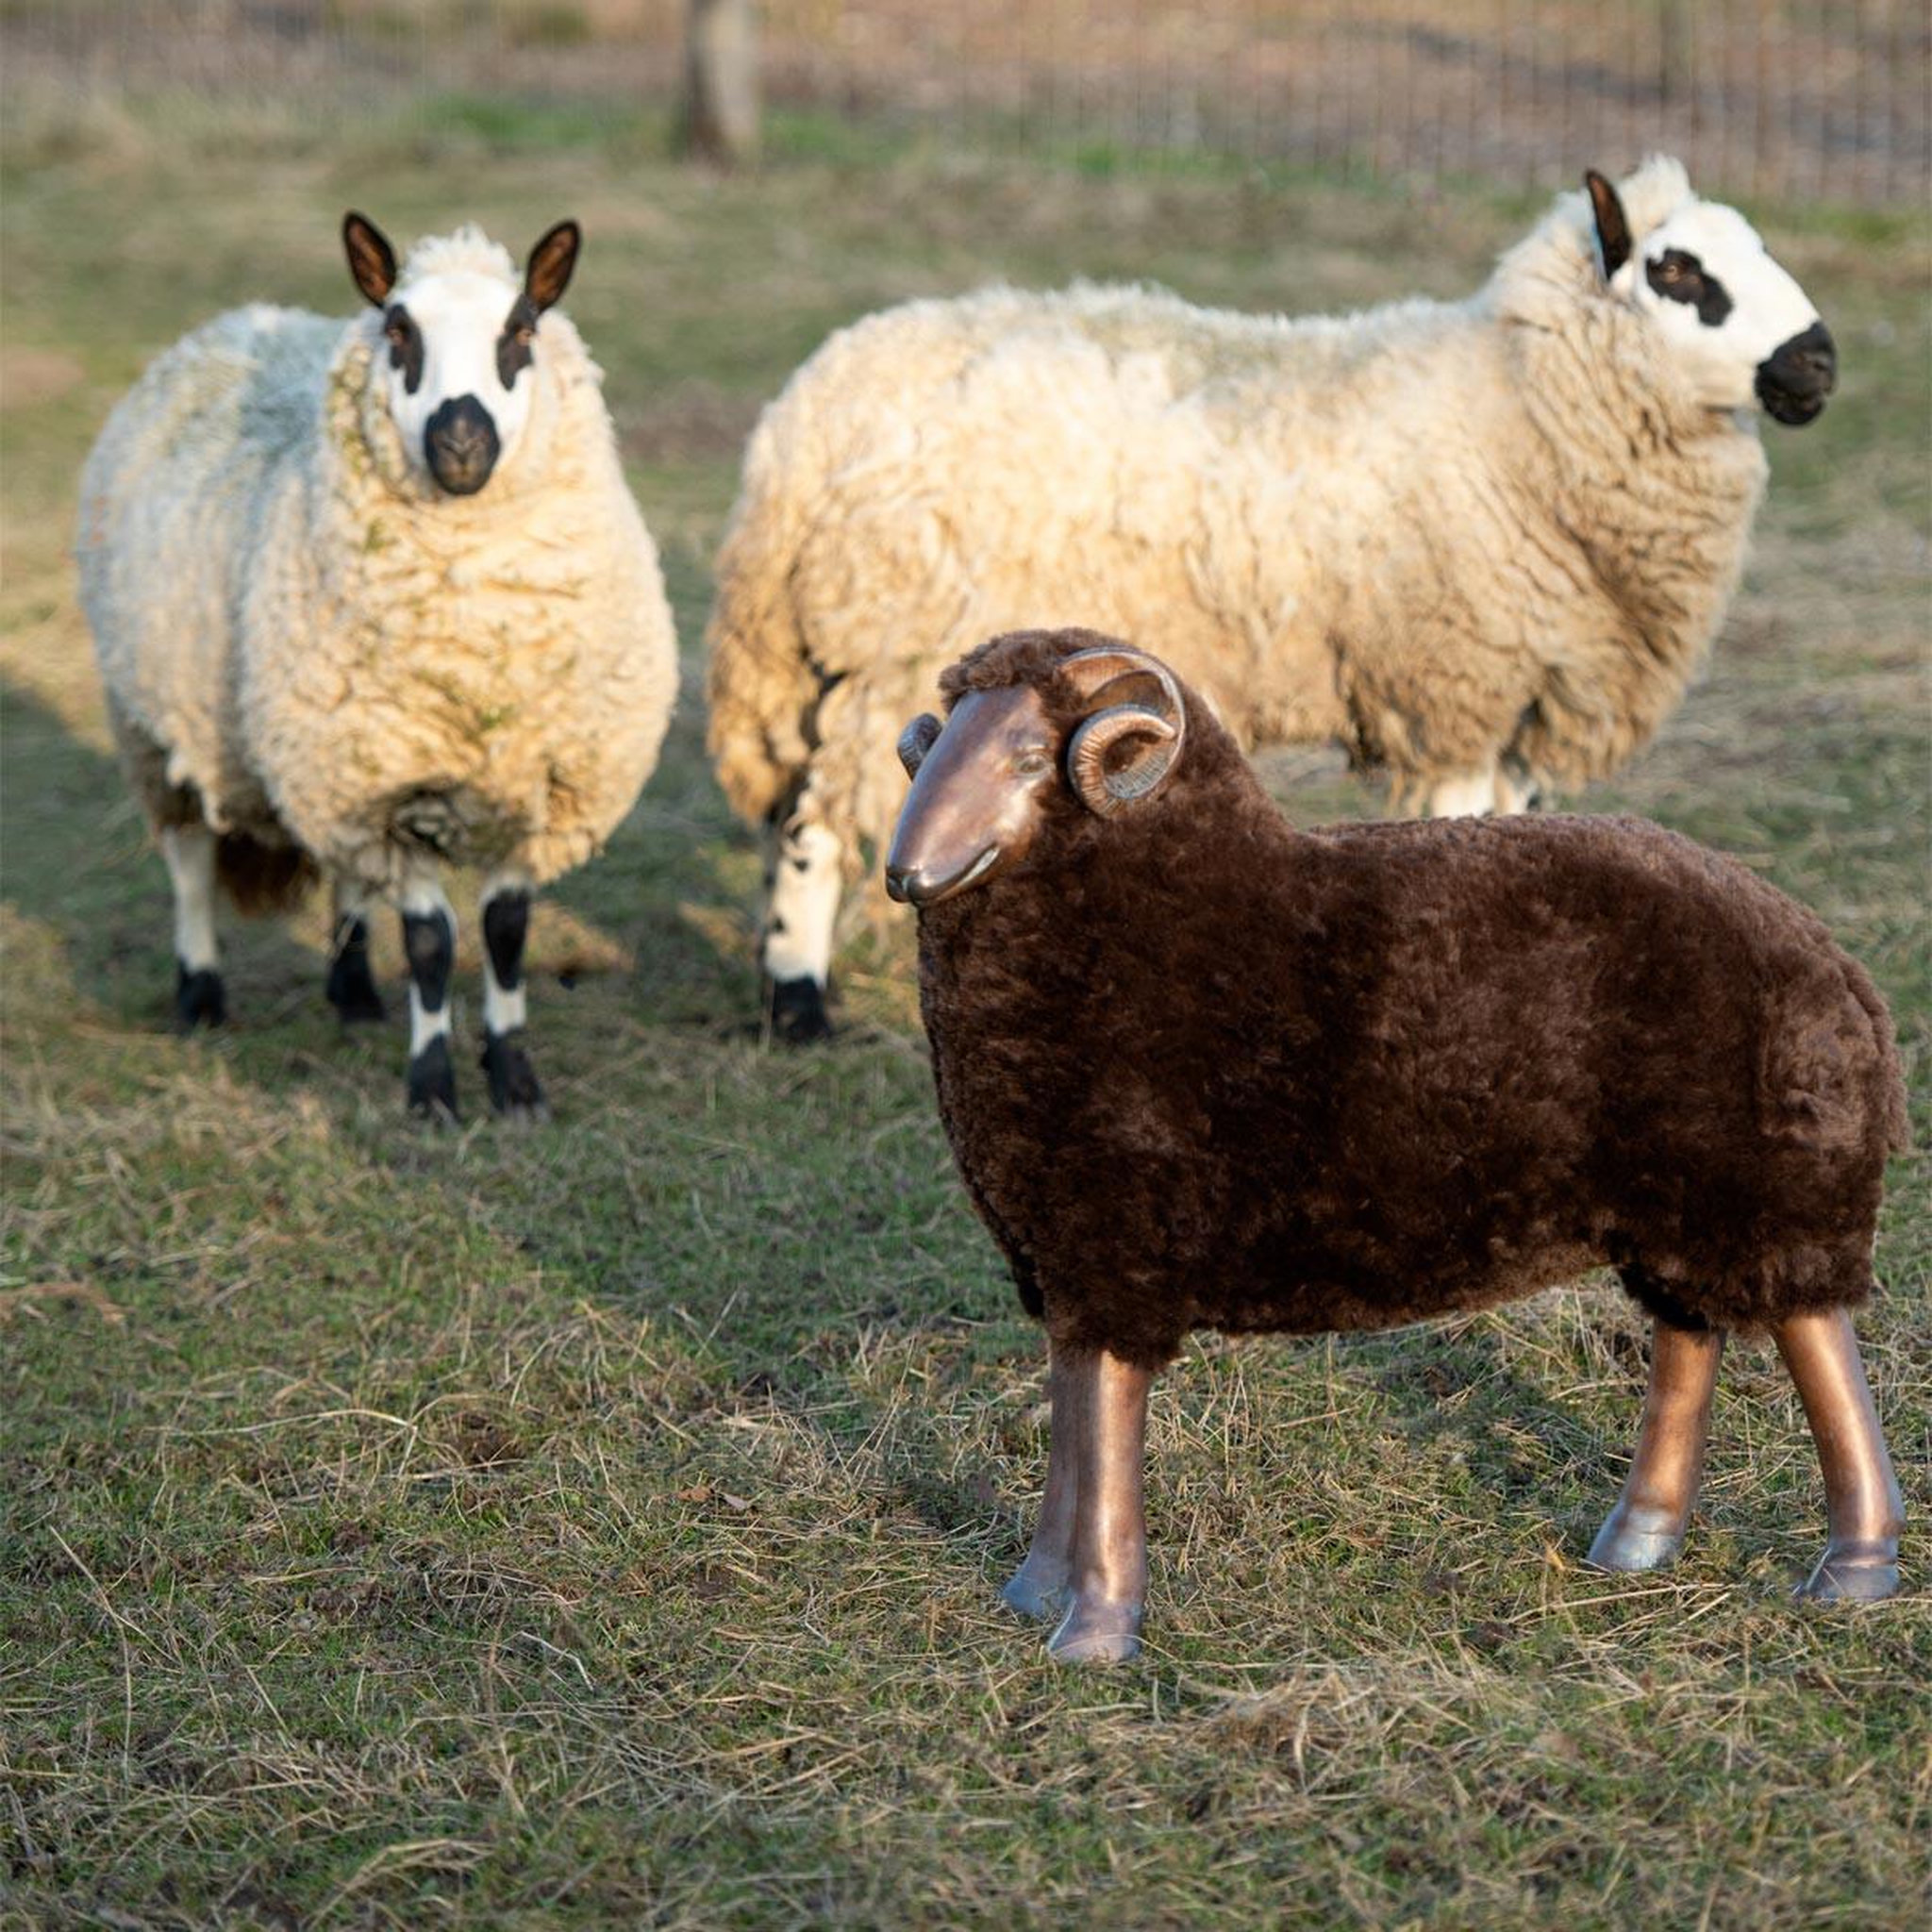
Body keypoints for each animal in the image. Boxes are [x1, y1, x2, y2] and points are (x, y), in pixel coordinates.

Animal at [76, 212, 677, 1120]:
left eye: (521, 329)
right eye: (399, 331)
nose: (460, 443)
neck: (473, 652)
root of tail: (236, 319)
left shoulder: (525, 785)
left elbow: (506, 935)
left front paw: (515, 1081)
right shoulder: (391, 786)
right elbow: (431, 943)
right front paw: (432, 1089)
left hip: (325, 754)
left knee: (345, 875)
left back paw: (353, 991)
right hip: (161, 731)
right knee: (190, 867)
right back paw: (201, 996)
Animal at [708, 156, 1839, 1043]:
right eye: (1678, 272)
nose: (1817, 362)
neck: (1517, 406)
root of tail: (804, 414)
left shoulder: (1521, 686)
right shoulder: (1452, 678)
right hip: (898, 638)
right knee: (817, 819)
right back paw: (798, 1001)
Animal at [886, 628, 1907, 1663]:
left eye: (1026, 759)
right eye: (937, 746)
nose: (905, 872)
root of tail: (1830, 959)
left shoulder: (1118, 1249)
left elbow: (1102, 1429)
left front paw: (1094, 1629)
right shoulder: (1063, 1261)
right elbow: (1070, 1422)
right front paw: (1031, 1592)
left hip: (1769, 1190)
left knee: (1816, 1339)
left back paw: (1855, 1565)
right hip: (1674, 1202)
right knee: (1688, 1335)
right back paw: (1637, 1539)